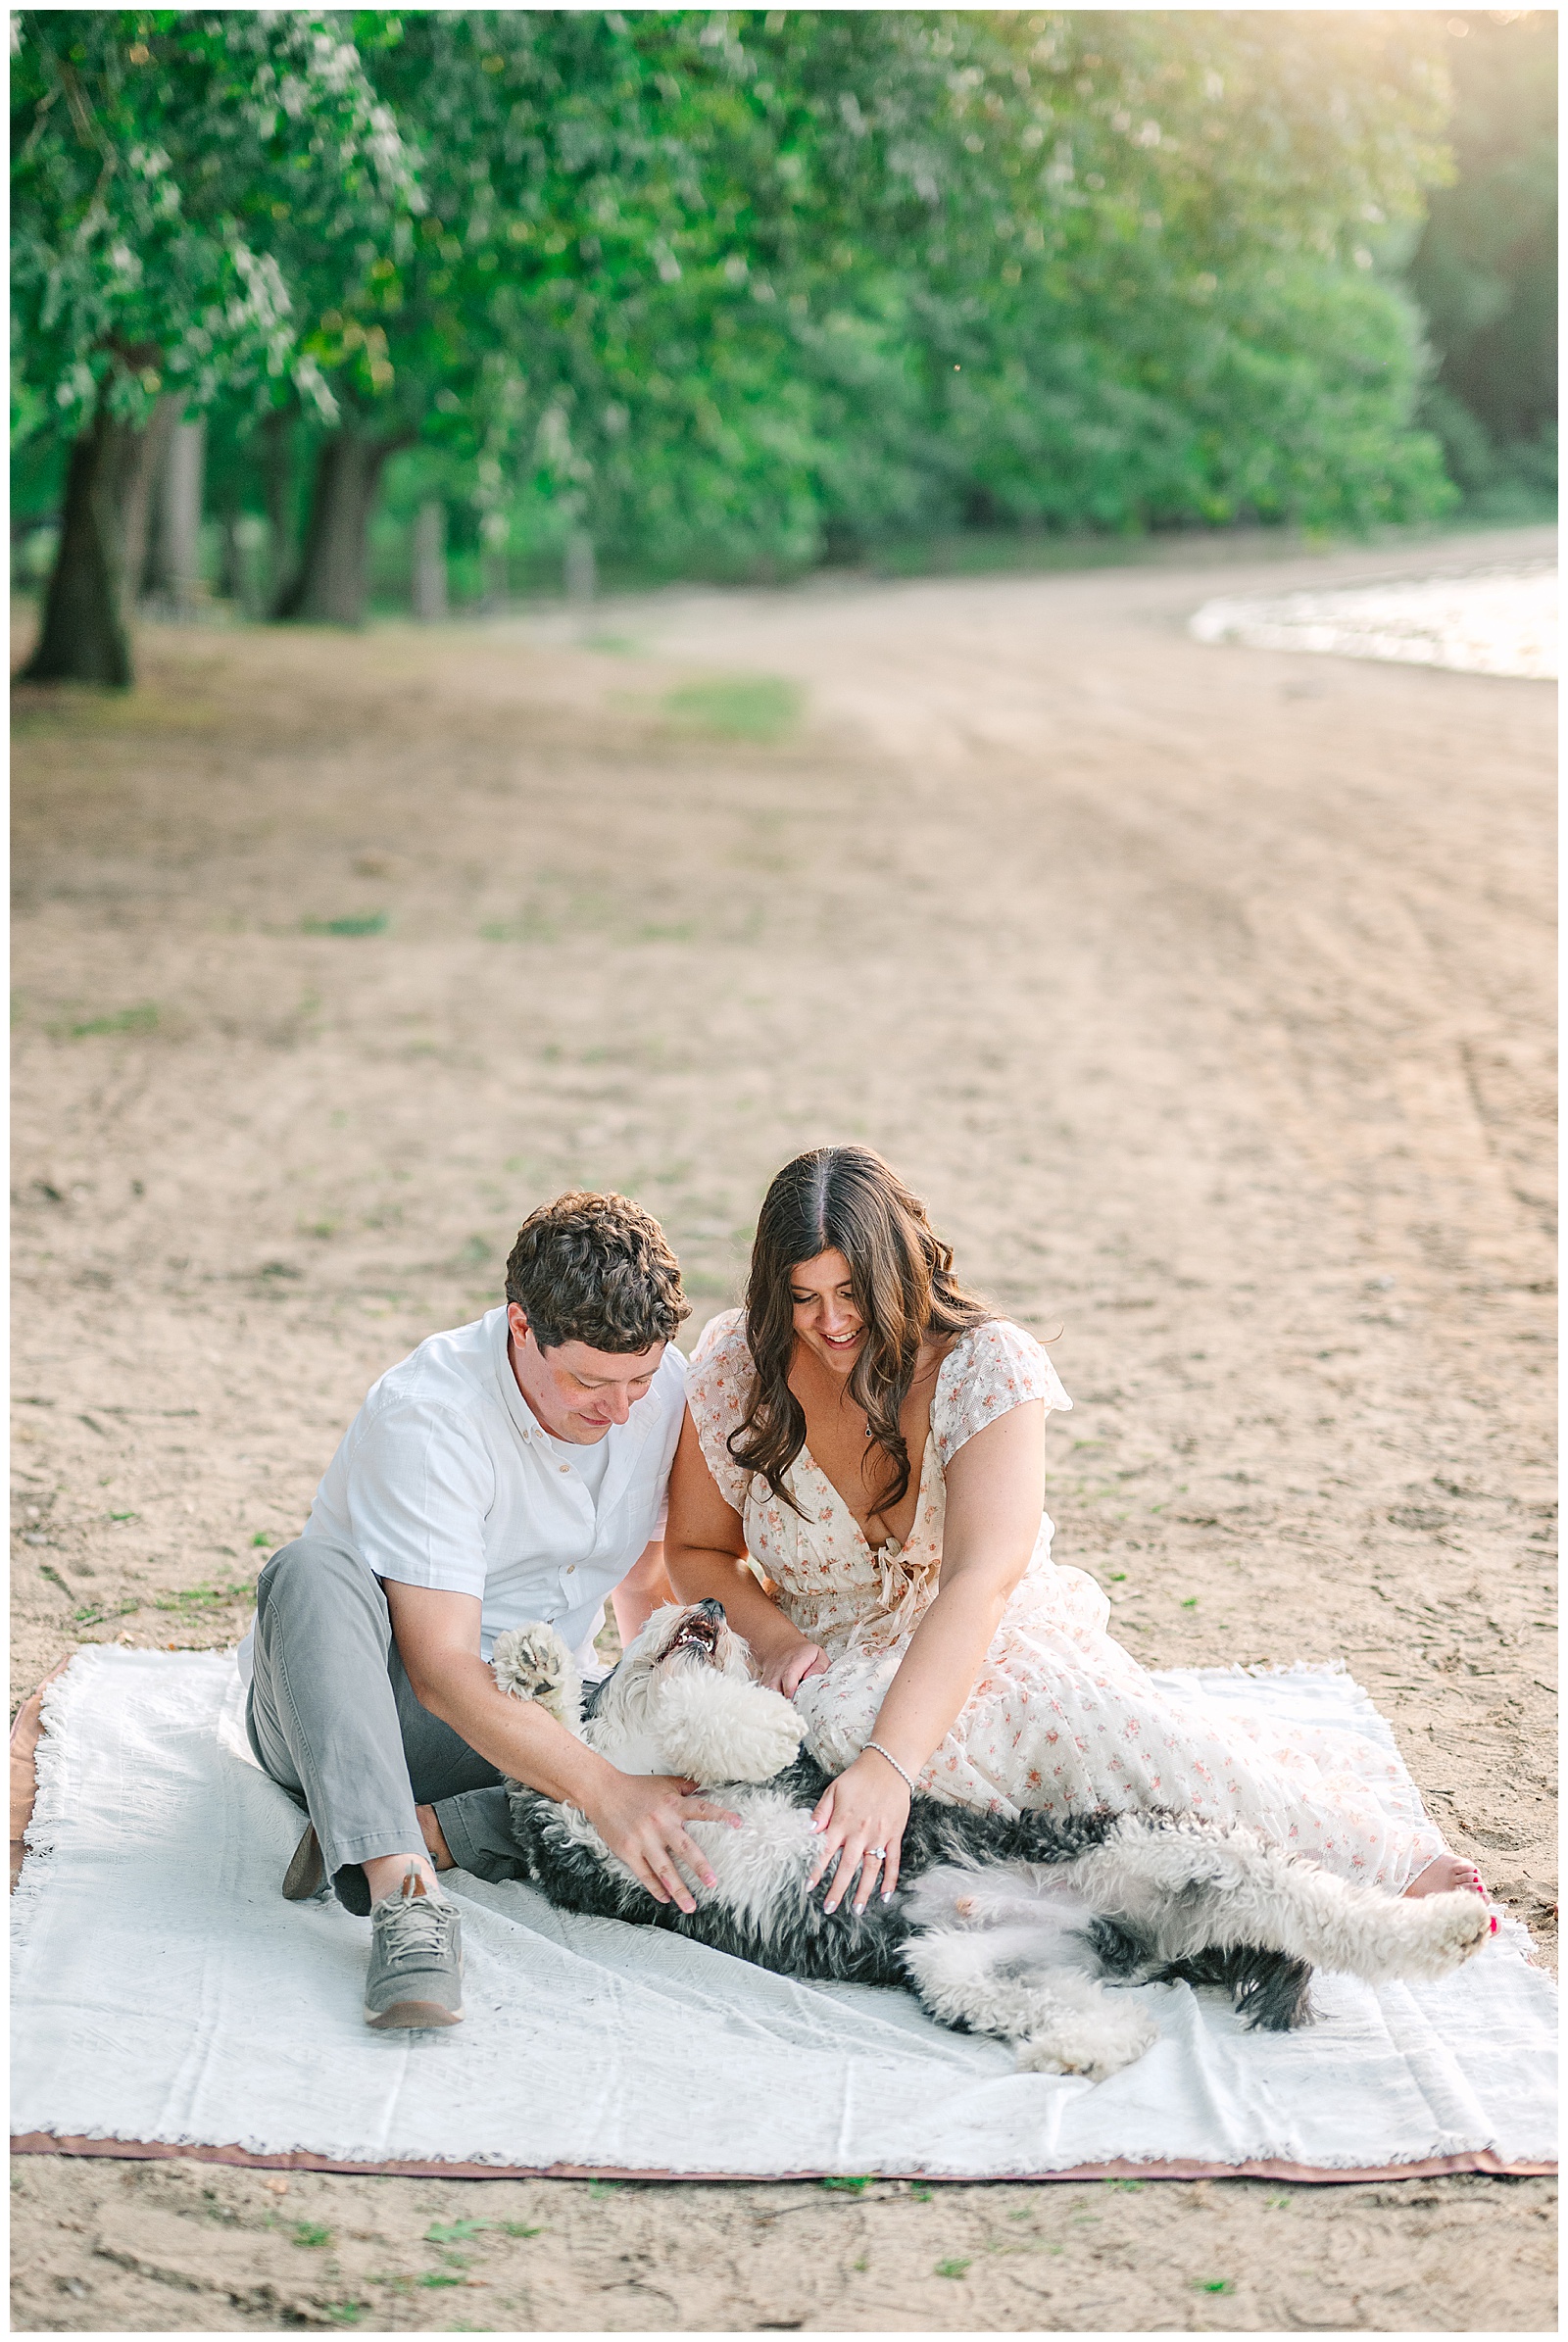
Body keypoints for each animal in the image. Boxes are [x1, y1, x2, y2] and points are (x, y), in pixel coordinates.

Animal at [492, 1601, 1491, 2079]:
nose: (706, 1601)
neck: (648, 1765)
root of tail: (1144, 1935)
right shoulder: (585, 1846)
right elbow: (557, 1761)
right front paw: (535, 1669)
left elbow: (710, 1718)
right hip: (963, 1967)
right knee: (1111, 2016)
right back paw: (1082, 2051)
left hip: (1165, 1846)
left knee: (1321, 1904)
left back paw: (1445, 1927)